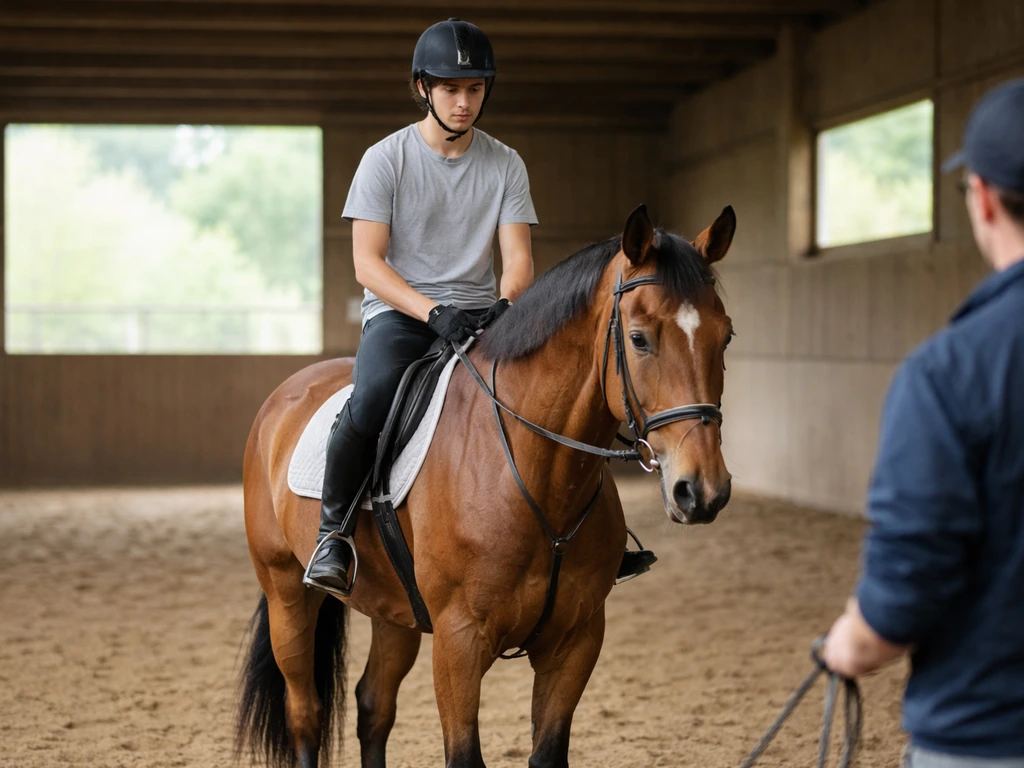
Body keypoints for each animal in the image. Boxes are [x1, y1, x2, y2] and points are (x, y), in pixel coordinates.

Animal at [236, 203, 737, 768]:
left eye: (726, 336)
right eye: (639, 338)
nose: (702, 490)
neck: (536, 474)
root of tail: (286, 395)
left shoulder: (577, 641)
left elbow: (548, 752)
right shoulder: (459, 642)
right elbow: (463, 754)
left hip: (395, 612)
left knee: (374, 705)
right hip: (286, 593)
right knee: (306, 712)